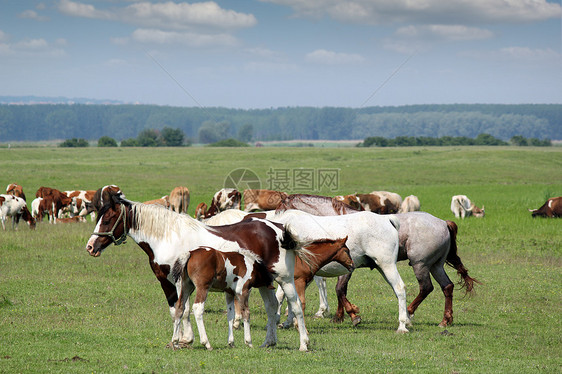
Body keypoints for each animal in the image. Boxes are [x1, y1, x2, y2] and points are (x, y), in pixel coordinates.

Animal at [85, 191, 310, 352]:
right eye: (98, 217)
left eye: (108, 219)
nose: (90, 247)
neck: (167, 237)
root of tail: (279, 228)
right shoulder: (167, 282)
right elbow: (176, 310)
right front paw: (181, 339)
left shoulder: (177, 282)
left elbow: (184, 310)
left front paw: (187, 339)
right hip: (265, 282)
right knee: (272, 307)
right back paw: (268, 342)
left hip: (286, 279)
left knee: (296, 307)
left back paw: (304, 343)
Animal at [276, 193, 476, 328]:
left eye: (281, 208)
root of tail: (443, 223)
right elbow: (339, 290)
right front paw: (340, 316)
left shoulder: (346, 266)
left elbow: (339, 290)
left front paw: (351, 315)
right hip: (435, 265)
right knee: (447, 287)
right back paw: (445, 320)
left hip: (420, 265)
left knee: (426, 288)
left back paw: (409, 313)